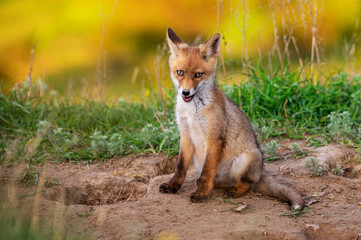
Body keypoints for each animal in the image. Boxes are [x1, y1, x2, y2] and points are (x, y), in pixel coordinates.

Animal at [159, 28, 302, 209]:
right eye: (180, 73)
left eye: (198, 74)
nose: (185, 92)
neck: (192, 112)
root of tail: (260, 171)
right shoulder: (185, 135)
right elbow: (180, 168)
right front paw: (172, 186)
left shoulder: (214, 138)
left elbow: (207, 173)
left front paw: (202, 195)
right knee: (219, 180)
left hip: (243, 160)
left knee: (245, 184)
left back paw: (233, 191)